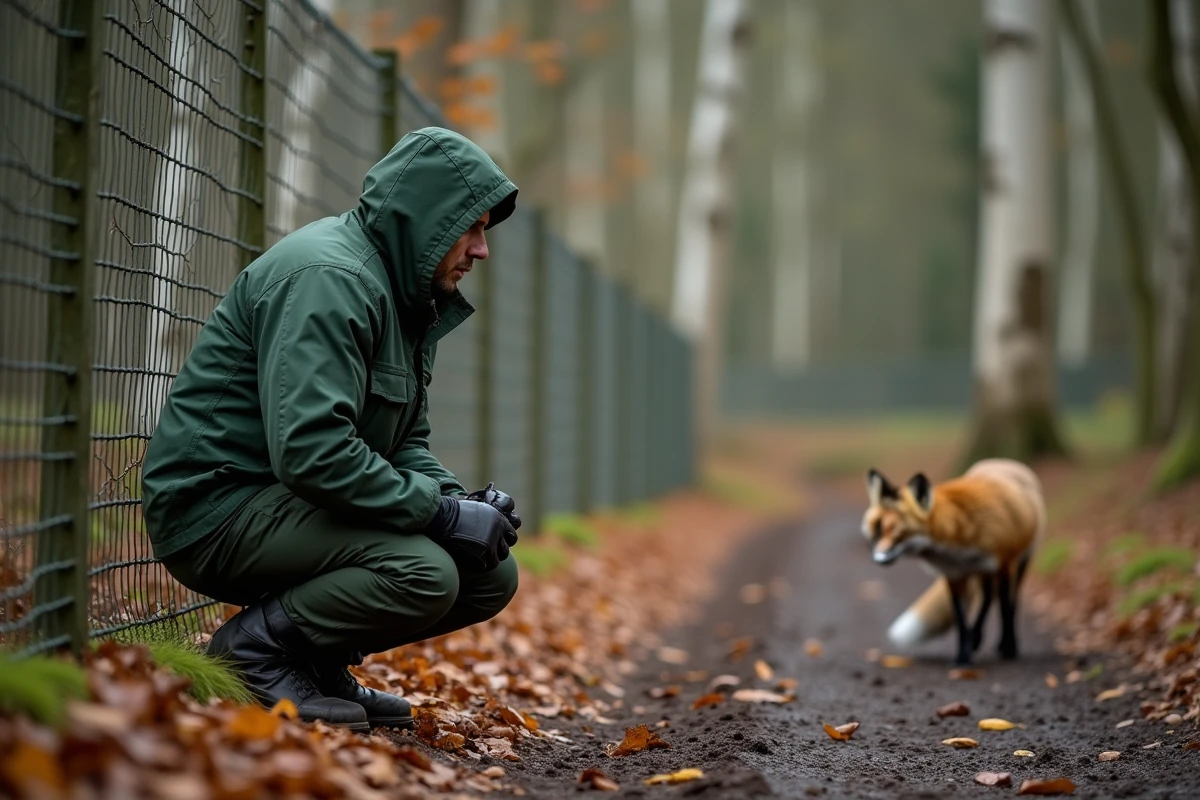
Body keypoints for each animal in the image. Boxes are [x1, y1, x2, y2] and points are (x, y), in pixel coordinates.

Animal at [861, 458, 1045, 666]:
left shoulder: (1005, 563)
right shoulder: (954, 574)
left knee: (1010, 600)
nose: (878, 559)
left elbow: (1005, 607)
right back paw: (976, 638)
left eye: (898, 532)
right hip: (982, 573)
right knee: (988, 597)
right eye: (877, 531)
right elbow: (961, 622)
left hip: (1018, 562)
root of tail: (1003, 462)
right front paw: (963, 656)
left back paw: (1003, 642)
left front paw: (1008, 647)